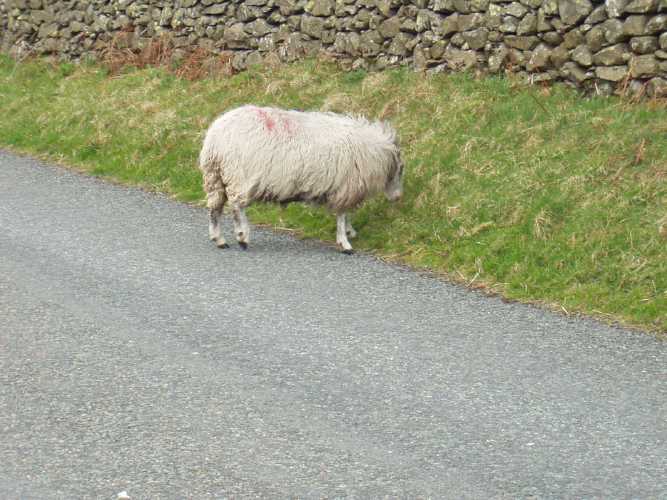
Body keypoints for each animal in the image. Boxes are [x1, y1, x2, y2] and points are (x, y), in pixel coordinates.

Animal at [198, 104, 404, 253]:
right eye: (401, 169)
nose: (398, 198)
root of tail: (215, 139)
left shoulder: (344, 188)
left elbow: (345, 215)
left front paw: (349, 231)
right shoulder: (345, 186)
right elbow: (342, 215)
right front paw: (345, 242)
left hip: (215, 177)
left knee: (215, 208)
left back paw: (219, 239)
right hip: (239, 176)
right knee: (236, 207)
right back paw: (242, 236)